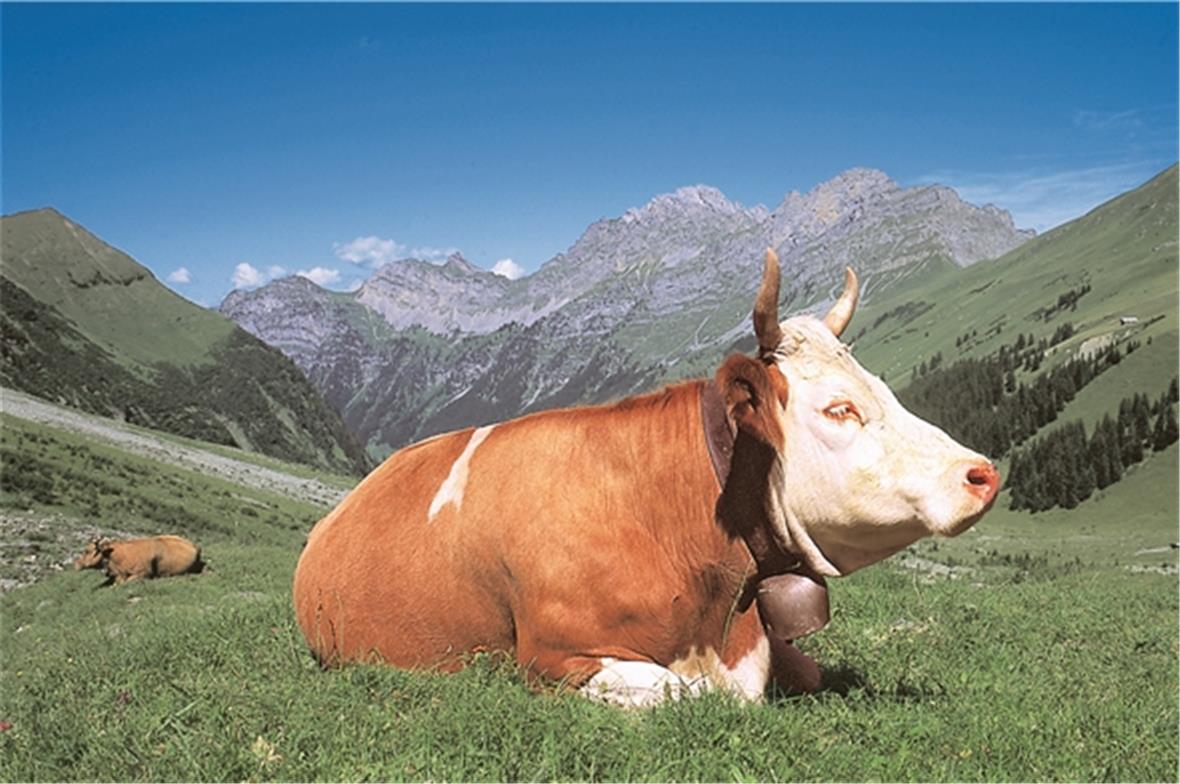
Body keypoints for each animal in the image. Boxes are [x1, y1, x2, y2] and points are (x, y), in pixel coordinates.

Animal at [292, 249, 1000, 707]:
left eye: (882, 385)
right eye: (839, 409)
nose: (982, 473)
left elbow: (806, 671)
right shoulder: (554, 658)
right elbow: (684, 695)